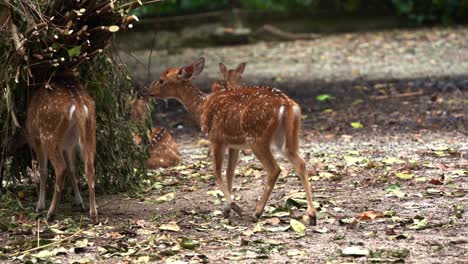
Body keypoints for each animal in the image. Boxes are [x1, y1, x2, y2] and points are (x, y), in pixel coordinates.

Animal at [25, 77, 98, 223]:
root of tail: (78, 104)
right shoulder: (69, 145)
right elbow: (72, 169)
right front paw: (79, 202)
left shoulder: (35, 139)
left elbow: (43, 170)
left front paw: (39, 206)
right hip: (89, 131)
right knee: (89, 167)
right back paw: (93, 213)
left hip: (48, 134)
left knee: (60, 168)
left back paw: (50, 213)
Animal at [146, 57, 318, 225]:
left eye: (161, 80)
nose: (148, 91)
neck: (202, 107)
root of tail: (287, 105)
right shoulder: (235, 144)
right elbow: (230, 172)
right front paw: (226, 209)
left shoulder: (216, 138)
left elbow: (216, 170)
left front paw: (233, 206)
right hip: (287, 137)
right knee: (300, 163)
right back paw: (312, 214)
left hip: (257, 137)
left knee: (274, 169)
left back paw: (257, 212)